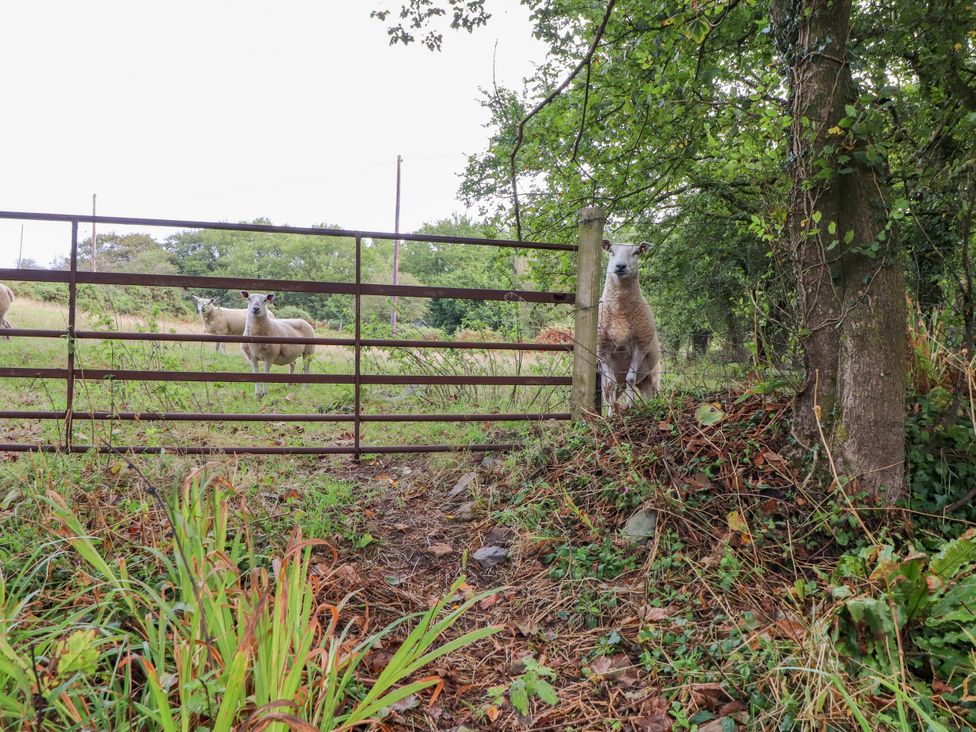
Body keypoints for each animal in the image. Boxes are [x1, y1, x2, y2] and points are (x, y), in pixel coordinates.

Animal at [597, 240, 662, 414]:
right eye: (611, 251)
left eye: (635, 252)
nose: (620, 266)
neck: (620, 313)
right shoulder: (602, 350)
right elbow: (611, 385)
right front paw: (611, 414)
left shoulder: (640, 346)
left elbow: (630, 379)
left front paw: (631, 406)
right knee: (612, 389)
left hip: (652, 376)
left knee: (649, 392)